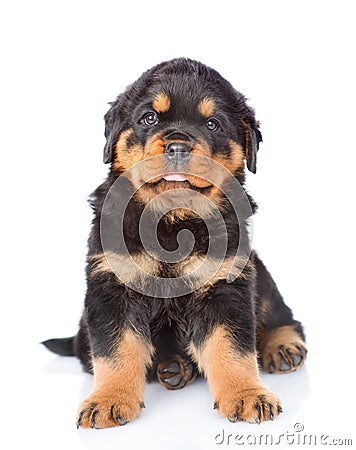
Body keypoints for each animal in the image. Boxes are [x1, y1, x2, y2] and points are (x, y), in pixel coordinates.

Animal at [43, 58, 308, 428]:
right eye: (149, 118)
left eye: (212, 124)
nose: (178, 146)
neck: (171, 221)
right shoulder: (111, 287)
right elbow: (114, 351)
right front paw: (107, 401)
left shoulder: (226, 284)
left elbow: (233, 348)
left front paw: (246, 395)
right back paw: (174, 368)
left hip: (257, 269)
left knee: (282, 315)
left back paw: (282, 348)